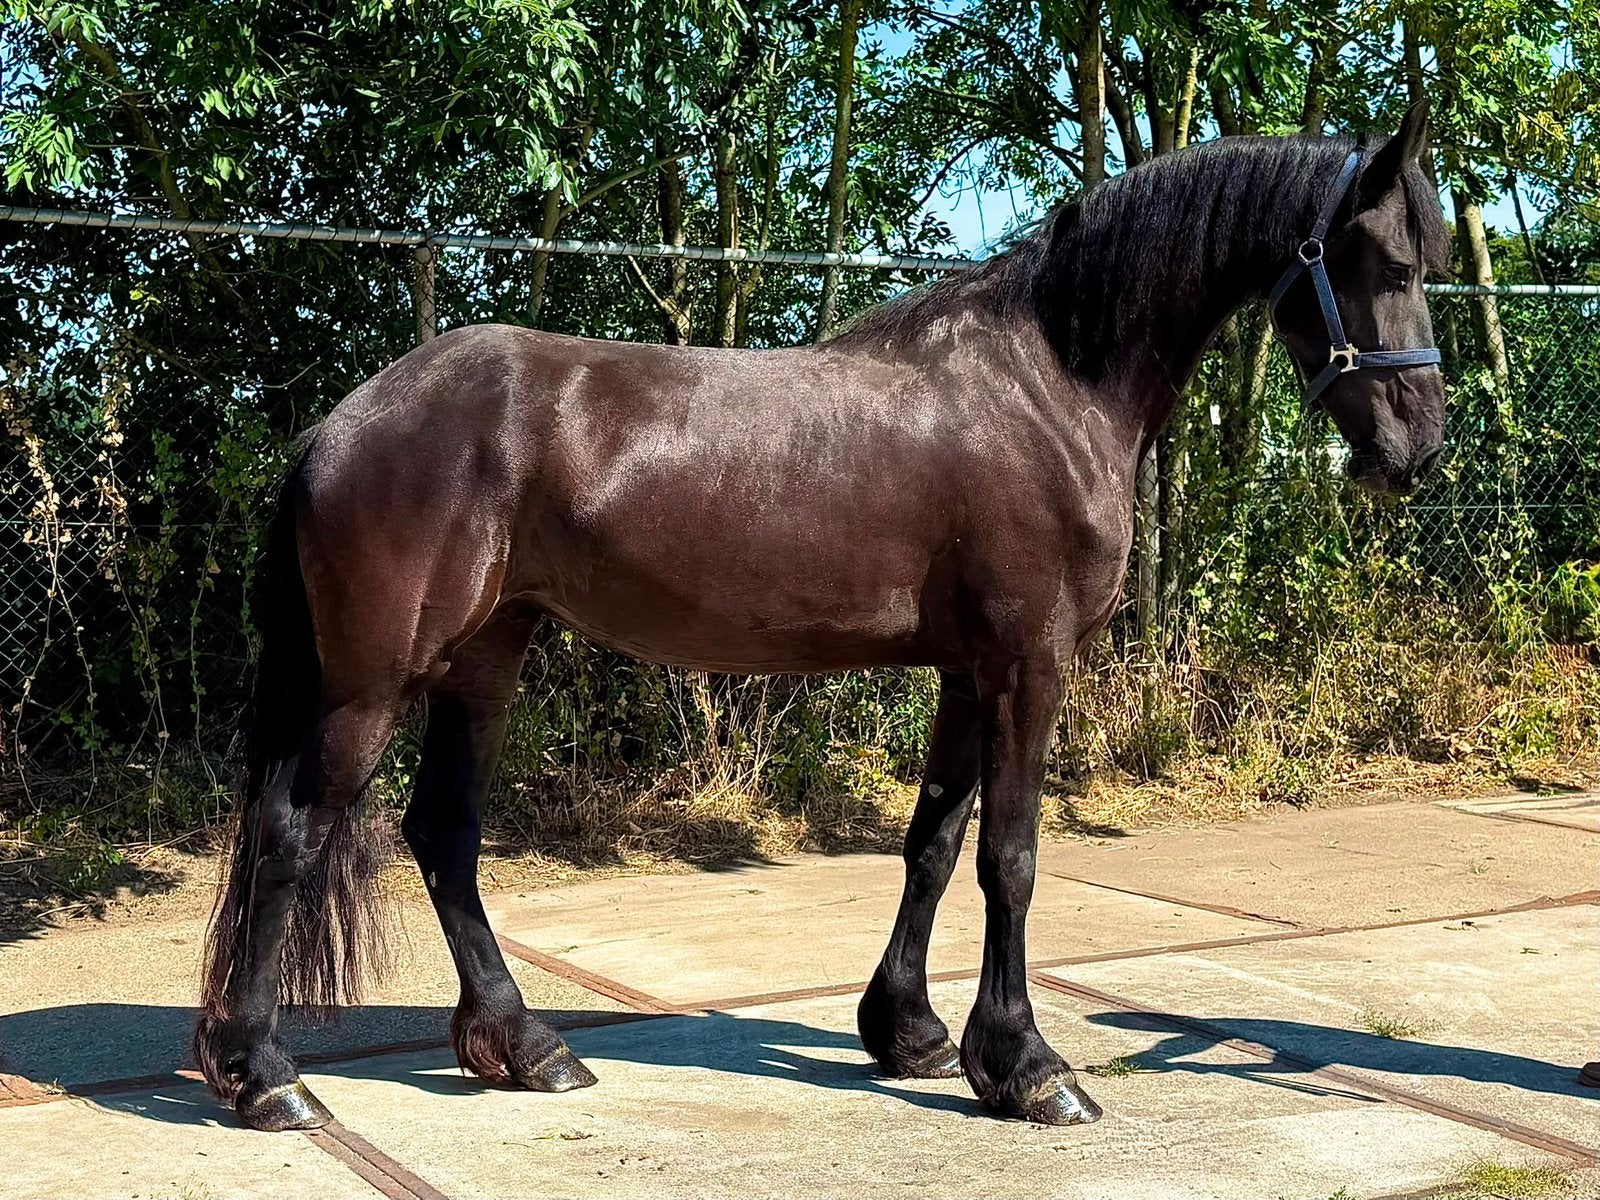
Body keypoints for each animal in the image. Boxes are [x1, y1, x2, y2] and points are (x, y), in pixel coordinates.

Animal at [194, 105, 1449, 1133]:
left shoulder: (966, 671)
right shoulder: (1027, 664)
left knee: (443, 839)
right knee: (292, 831)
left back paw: (525, 1047)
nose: (1418, 449)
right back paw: (268, 1078)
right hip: (372, 683)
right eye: (1382, 258)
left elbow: (933, 844)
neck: (1047, 385)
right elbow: (1011, 857)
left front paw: (914, 1034)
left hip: (483, 663)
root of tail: (343, 423)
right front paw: (1030, 1068)